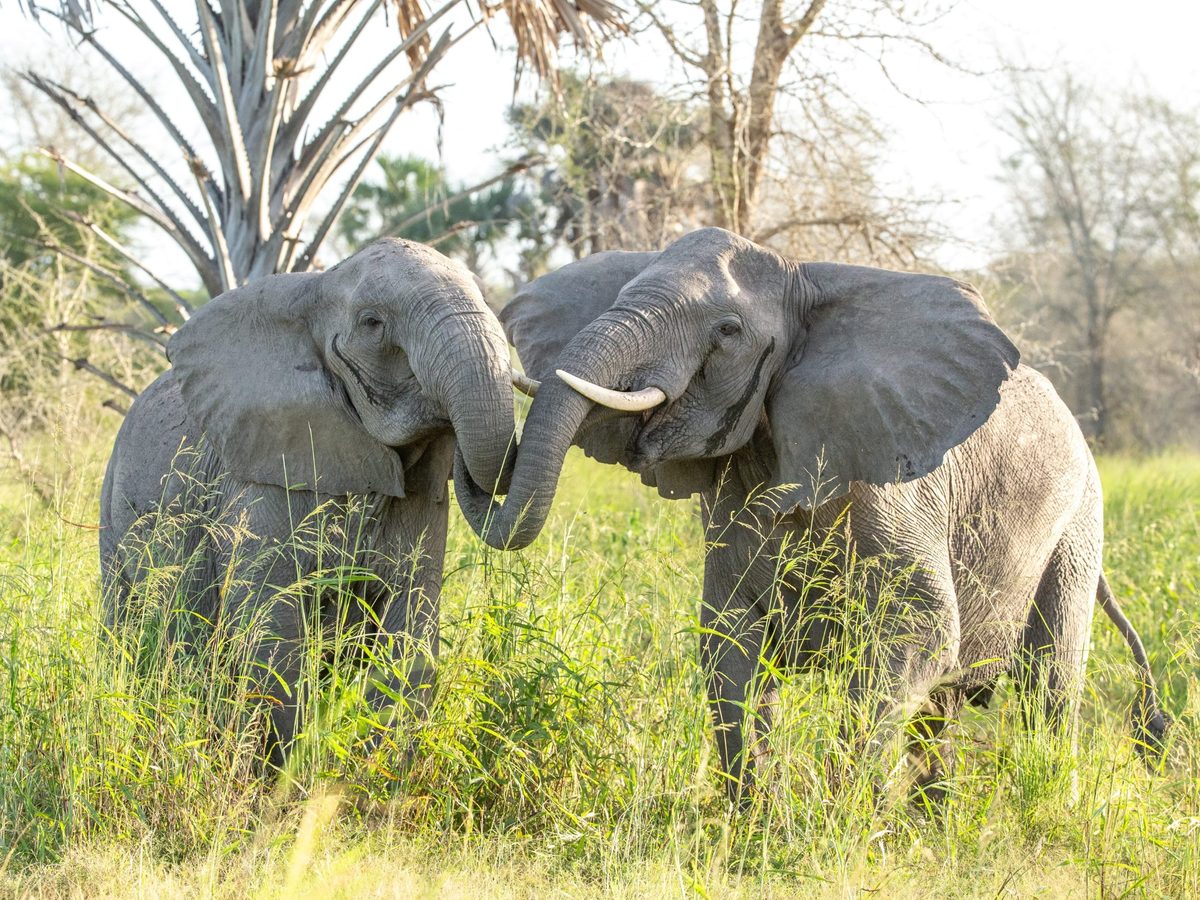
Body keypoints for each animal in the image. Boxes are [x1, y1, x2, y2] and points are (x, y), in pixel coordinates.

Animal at [100, 238, 515, 766]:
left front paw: (376, 774)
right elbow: (271, 630)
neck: (316, 286)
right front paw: (286, 776)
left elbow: (409, 628)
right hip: (112, 511)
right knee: (128, 631)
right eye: (372, 323)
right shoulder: (263, 482)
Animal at [453, 227, 1170, 802]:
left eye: (728, 332)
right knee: (941, 712)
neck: (804, 287)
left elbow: (918, 628)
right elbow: (729, 640)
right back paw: (933, 824)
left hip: (1079, 522)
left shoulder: (887, 481)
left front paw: (842, 816)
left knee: (1049, 686)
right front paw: (758, 820)